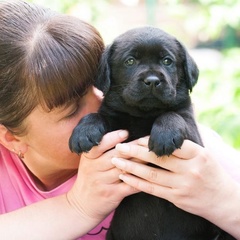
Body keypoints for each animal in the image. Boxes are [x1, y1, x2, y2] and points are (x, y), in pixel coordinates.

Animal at [68, 26, 235, 240]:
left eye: (167, 61)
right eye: (130, 61)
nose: (153, 81)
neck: (144, 115)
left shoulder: (193, 136)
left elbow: (172, 114)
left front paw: (164, 136)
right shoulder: (113, 117)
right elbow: (97, 115)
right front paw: (83, 132)